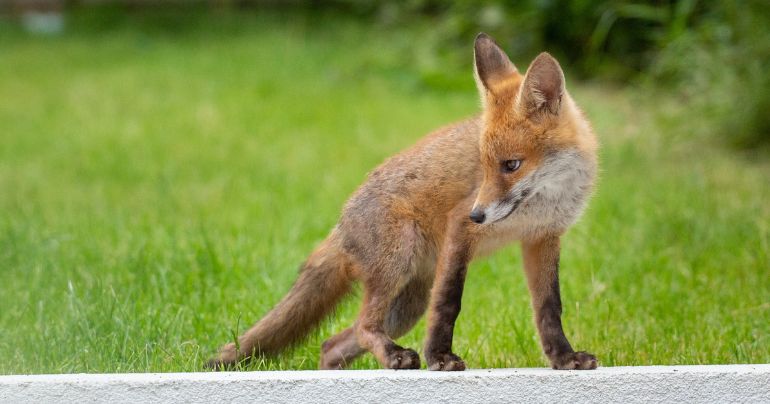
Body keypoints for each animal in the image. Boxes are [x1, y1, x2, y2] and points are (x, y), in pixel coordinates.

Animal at [208, 33, 600, 370]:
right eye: (484, 167)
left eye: (511, 165)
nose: (479, 215)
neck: (546, 198)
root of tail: (340, 224)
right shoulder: (459, 228)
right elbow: (449, 303)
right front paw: (439, 357)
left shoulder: (542, 238)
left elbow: (549, 308)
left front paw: (564, 358)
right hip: (399, 258)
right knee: (363, 326)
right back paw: (395, 355)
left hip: (407, 305)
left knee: (332, 343)